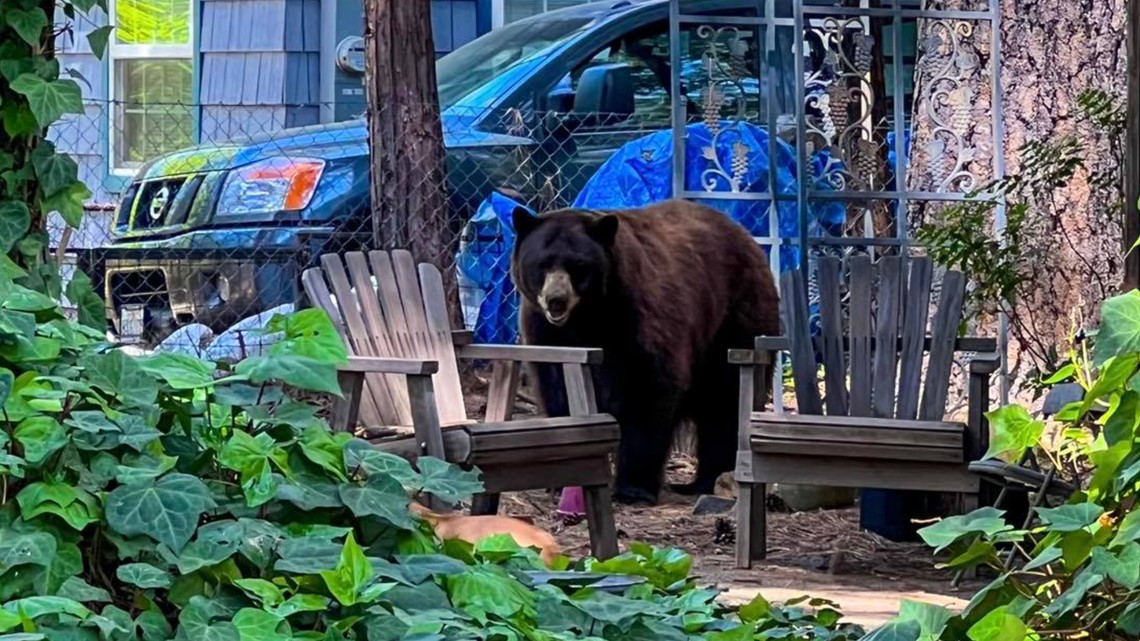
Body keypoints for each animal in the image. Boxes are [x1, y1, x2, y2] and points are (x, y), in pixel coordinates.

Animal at [513, 199, 779, 504]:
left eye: (578, 265)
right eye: (542, 263)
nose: (556, 300)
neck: (587, 318)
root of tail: (748, 239)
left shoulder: (637, 317)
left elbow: (647, 390)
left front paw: (633, 488)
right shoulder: (545, 332)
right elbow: (558, 389)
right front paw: (564, 479)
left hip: (732, 321)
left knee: (724, 401)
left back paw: (711, 478)